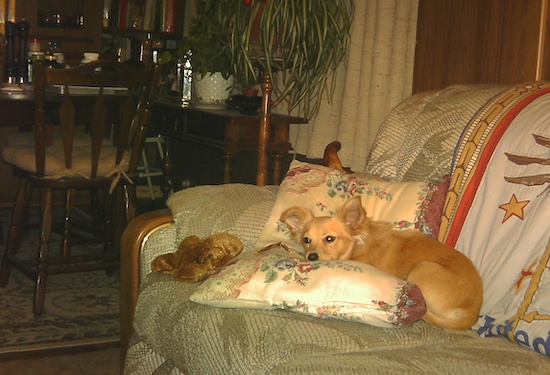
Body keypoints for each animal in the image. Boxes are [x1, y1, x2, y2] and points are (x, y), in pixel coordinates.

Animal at [282, 198, 486, 330]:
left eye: (330, 239)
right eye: (307, 240)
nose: (311, 257)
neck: (358, 246)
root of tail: (473, 311)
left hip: (423, 267)